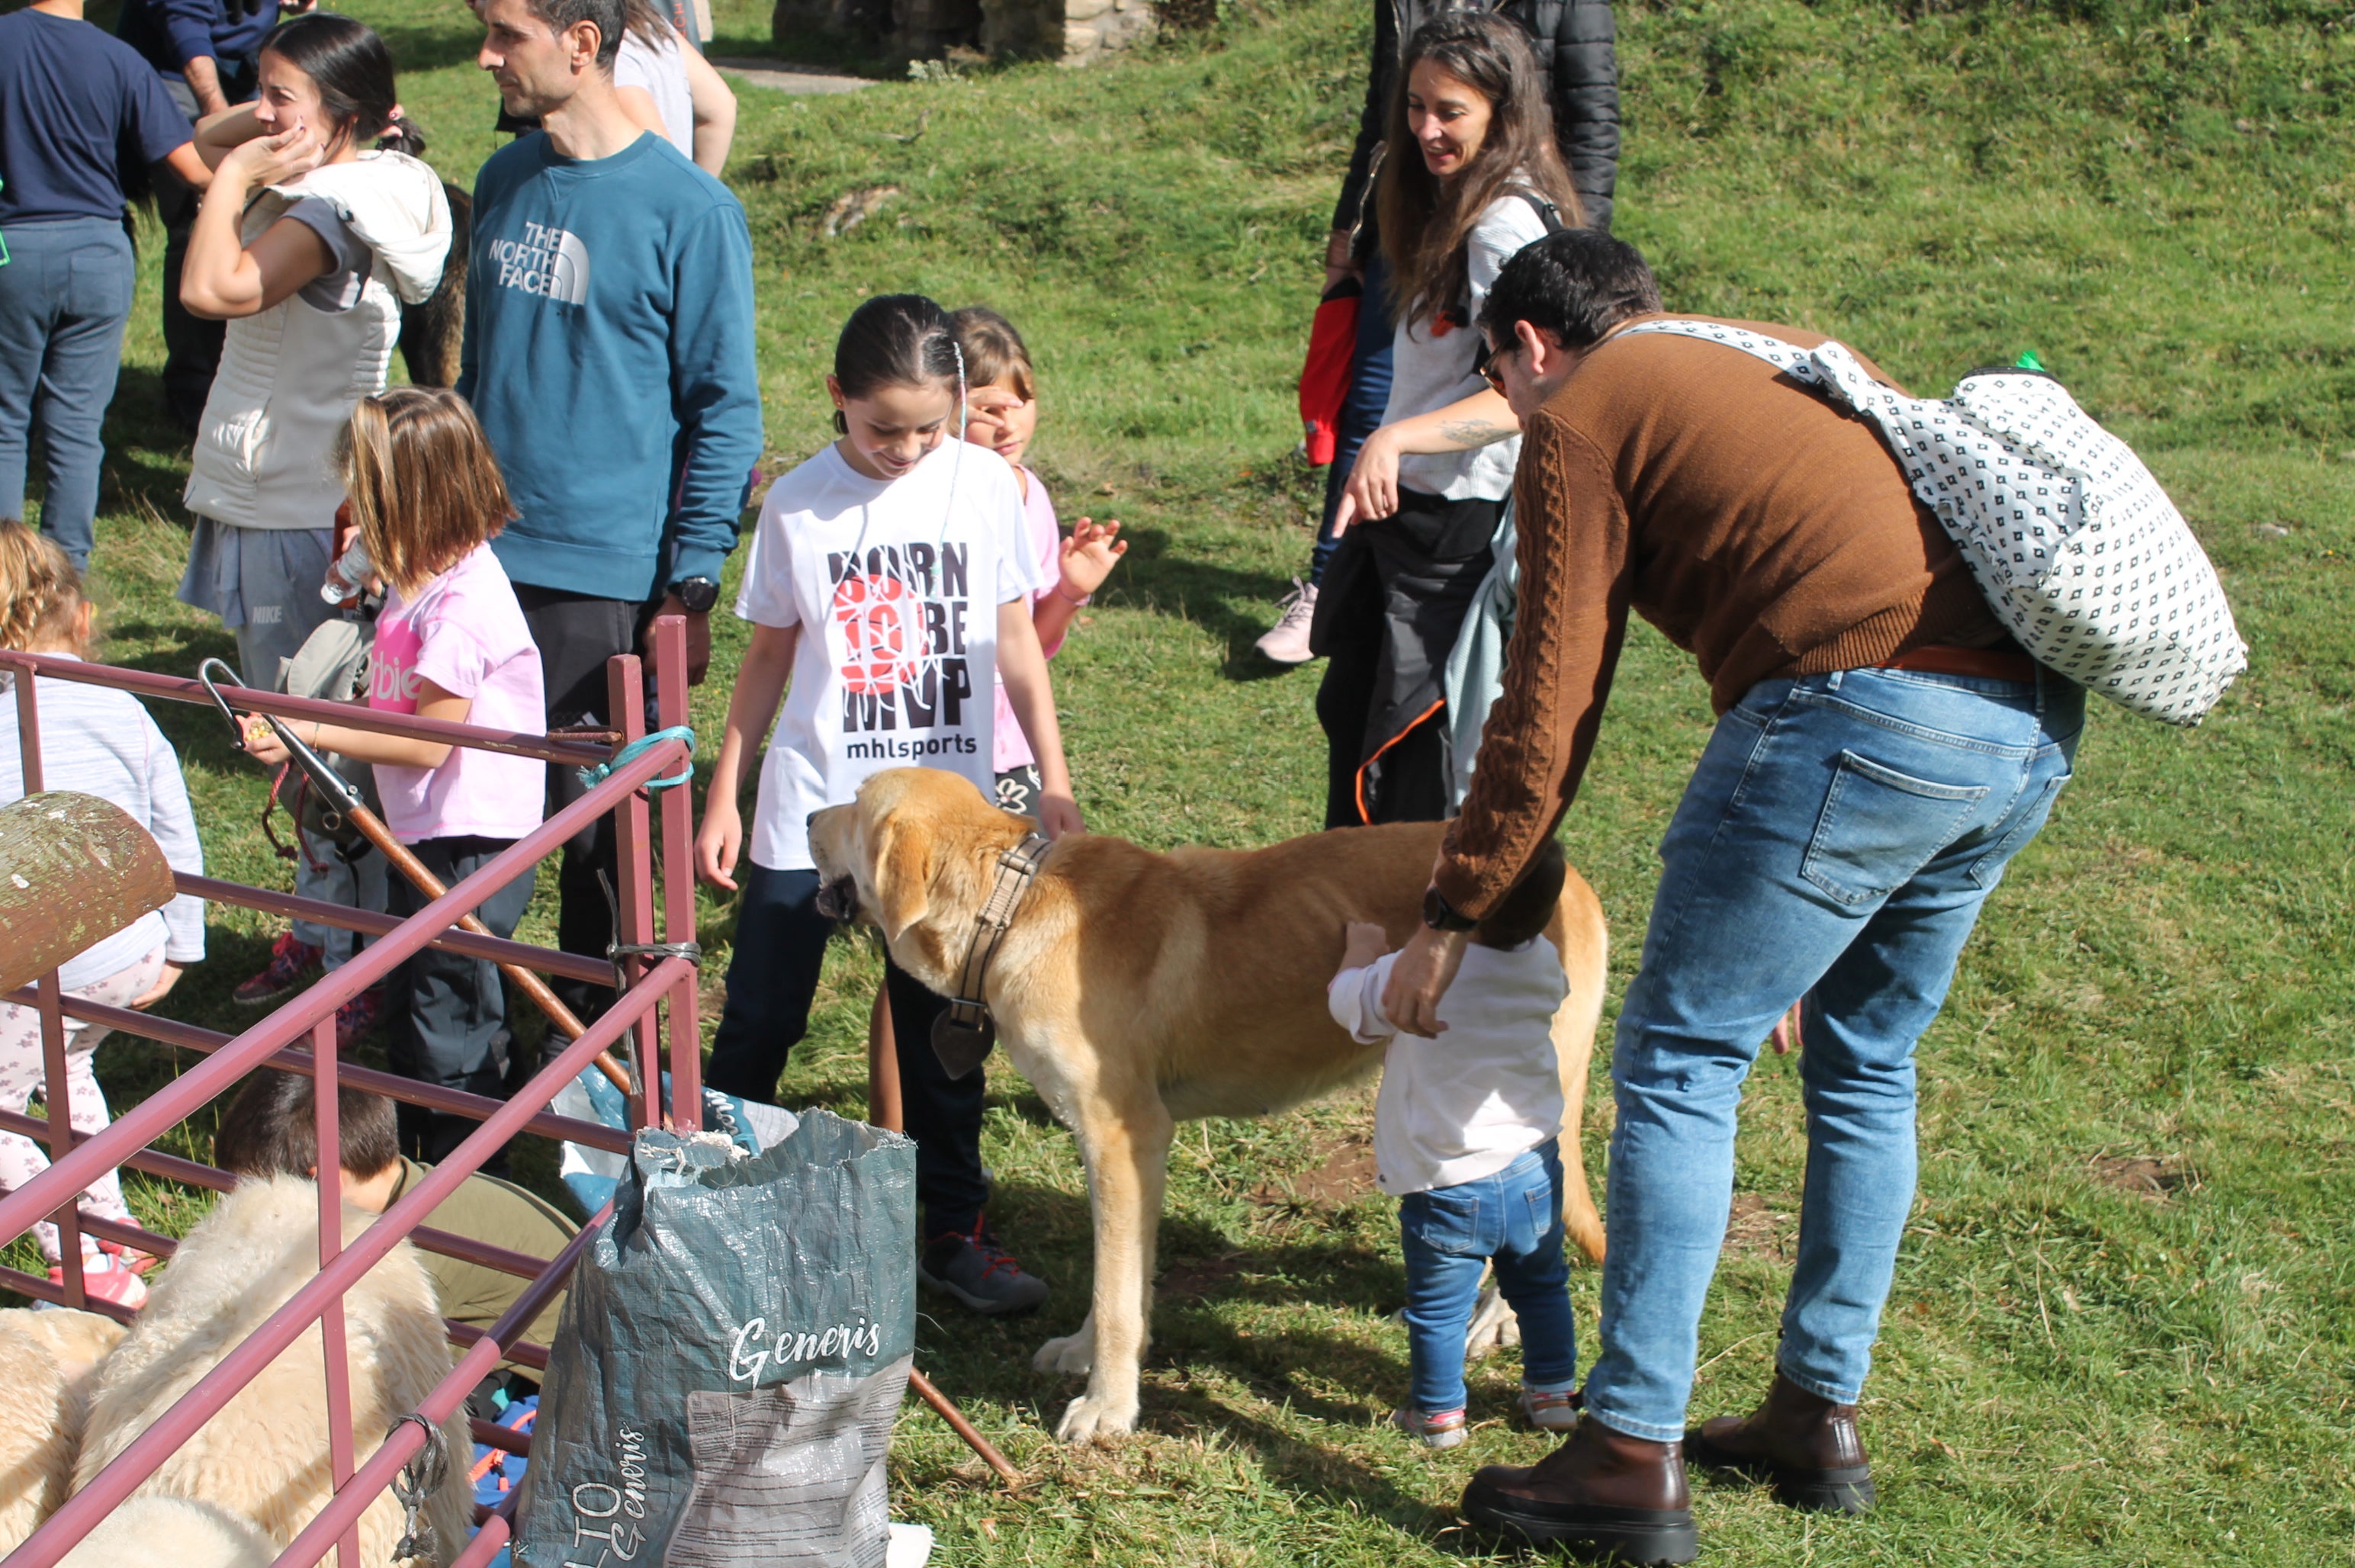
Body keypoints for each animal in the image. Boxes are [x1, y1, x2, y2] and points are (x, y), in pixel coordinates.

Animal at [800, 763, 1611, 1431]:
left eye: (854, 808)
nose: (806, 818)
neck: (1010, 909)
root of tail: (1572, 878)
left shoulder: (1123, 1137)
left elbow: (1115, 1292)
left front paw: (1106, 1409)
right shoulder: (1125, 1153)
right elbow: (1122, 1280)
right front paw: (1092, 1359)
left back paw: (1497, 1321)